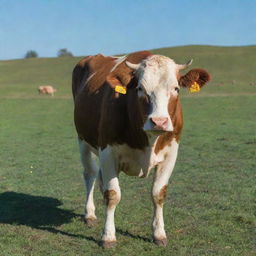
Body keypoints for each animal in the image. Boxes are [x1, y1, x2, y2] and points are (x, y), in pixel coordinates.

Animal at [71, 50, 210, 248]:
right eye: (140, 89)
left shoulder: (171, 153)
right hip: (82, 140)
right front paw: (108, 236)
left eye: (176, 88)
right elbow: (113, 195)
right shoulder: (107, 151)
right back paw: (89, 214)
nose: (159, 121)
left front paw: (159, 234)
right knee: (90, 174)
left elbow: (158, 193)